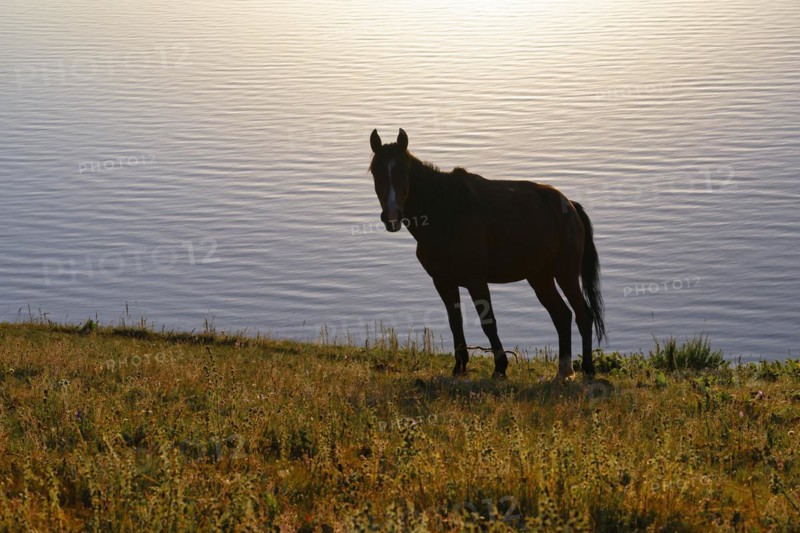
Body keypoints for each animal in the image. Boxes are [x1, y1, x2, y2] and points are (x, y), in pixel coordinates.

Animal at [368, 128, 605, 381]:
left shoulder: (476, 280)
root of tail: (569, 206)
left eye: (403, 171)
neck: (446, 211)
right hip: (540, 277)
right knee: (562, 315)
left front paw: (500, 367)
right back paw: (563, 371)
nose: (392, 216)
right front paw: (459, 367)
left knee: (583, 315)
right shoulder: (443, 281)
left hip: (565, 273)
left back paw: (587, 369)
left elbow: (488, 322)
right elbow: (455, 322)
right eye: (375, 170)